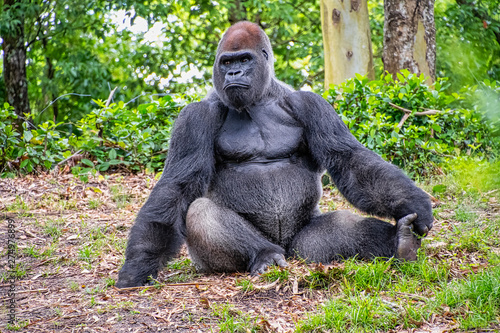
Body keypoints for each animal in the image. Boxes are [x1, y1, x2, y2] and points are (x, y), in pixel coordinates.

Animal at [115, 20, 432, 286]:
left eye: (244, 59)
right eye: (226, 62)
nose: (233, 73)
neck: (259, 99)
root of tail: (287, 250)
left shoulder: (311, 103)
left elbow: (348, 159)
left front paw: (413, 202)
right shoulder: (194, 117)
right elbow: (177, 185)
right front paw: (139, 264)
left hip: (305, 248)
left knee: (329, 236)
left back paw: (399, 242)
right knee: (201, 212)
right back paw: (264, 255)